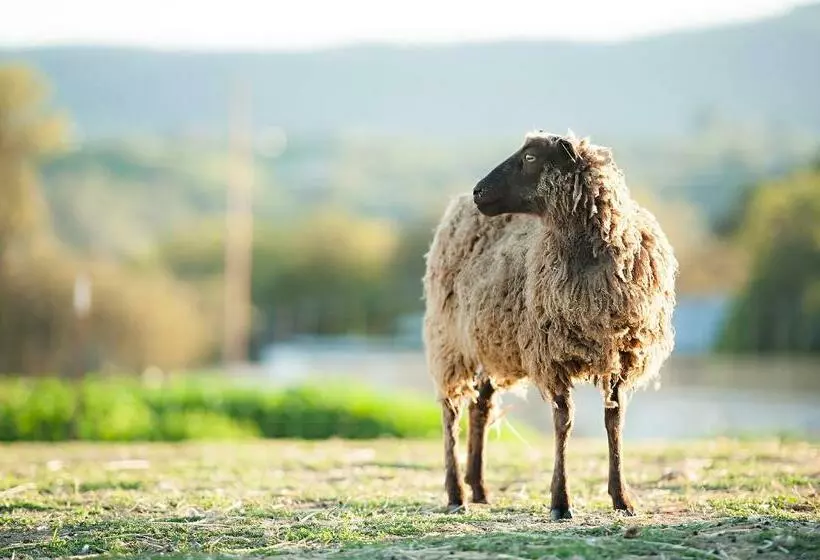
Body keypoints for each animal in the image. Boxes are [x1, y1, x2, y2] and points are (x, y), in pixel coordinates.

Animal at [421, 130, 677, 519]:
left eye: (529, 157)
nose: (479, 191)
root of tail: (456, 207)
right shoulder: (552, 353)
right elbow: (564, 423)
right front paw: (561, 501)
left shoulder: (621, 355)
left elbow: (614, 421)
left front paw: (622, 499)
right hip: (449, 342)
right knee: (451, 412)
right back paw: (456, 493)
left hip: (490, 342)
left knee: (480, 409)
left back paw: (479, 488)